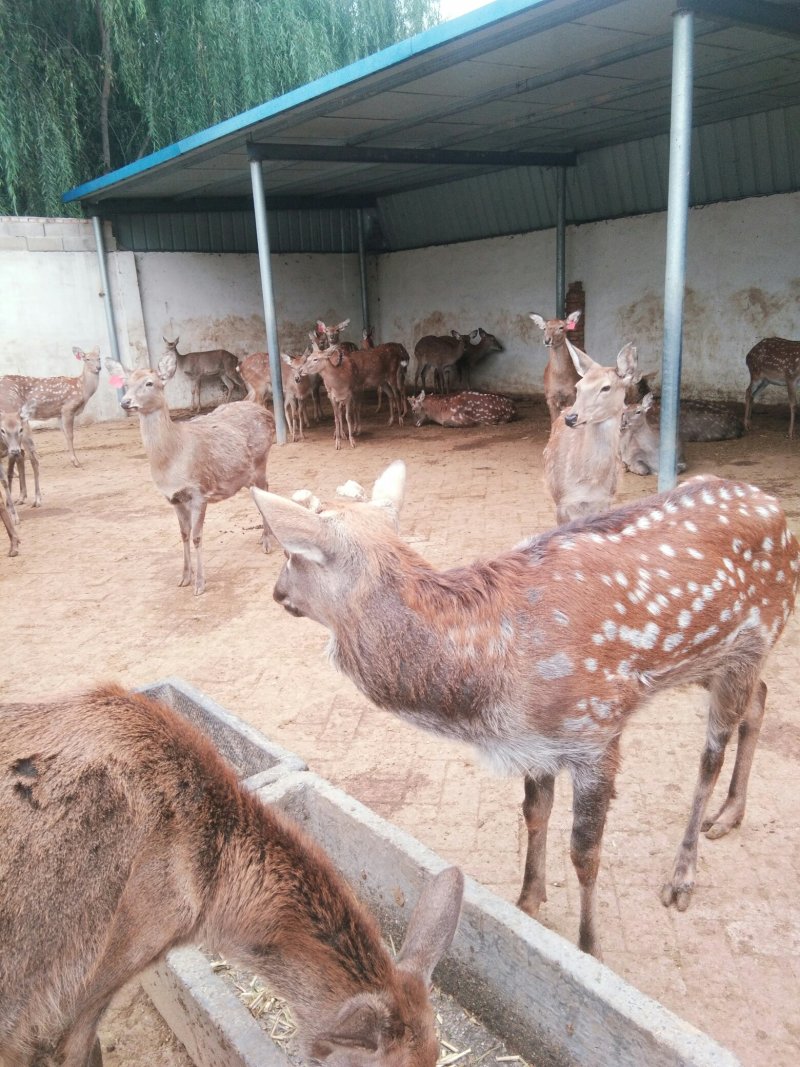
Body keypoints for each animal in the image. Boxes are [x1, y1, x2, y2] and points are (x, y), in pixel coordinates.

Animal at [106, 353, 275, 595]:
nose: (125, 402)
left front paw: (200, 584)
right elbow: (184, 535)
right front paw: (185, 577)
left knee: (267, 489)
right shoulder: (174, 498)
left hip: (261, 461)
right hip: (246, 475)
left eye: (149, 383)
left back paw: (268, 542)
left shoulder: (199, 491)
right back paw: (263, 538)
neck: (172, 460)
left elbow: (196, 537)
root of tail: (267, 414)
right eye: (126, 384)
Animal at [251, 460, 799, 960]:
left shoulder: (597, 728)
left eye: (292, 554)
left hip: (752, 639)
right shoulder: (536, 743)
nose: (276, 592)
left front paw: (589, 947)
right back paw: (731, 813)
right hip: (710, 660)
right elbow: (534, 814)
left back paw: (683, 874)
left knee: (710, 756)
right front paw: (527, 902)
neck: (493, 691)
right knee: (762, 696)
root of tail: (778, 511)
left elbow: (585, 851)